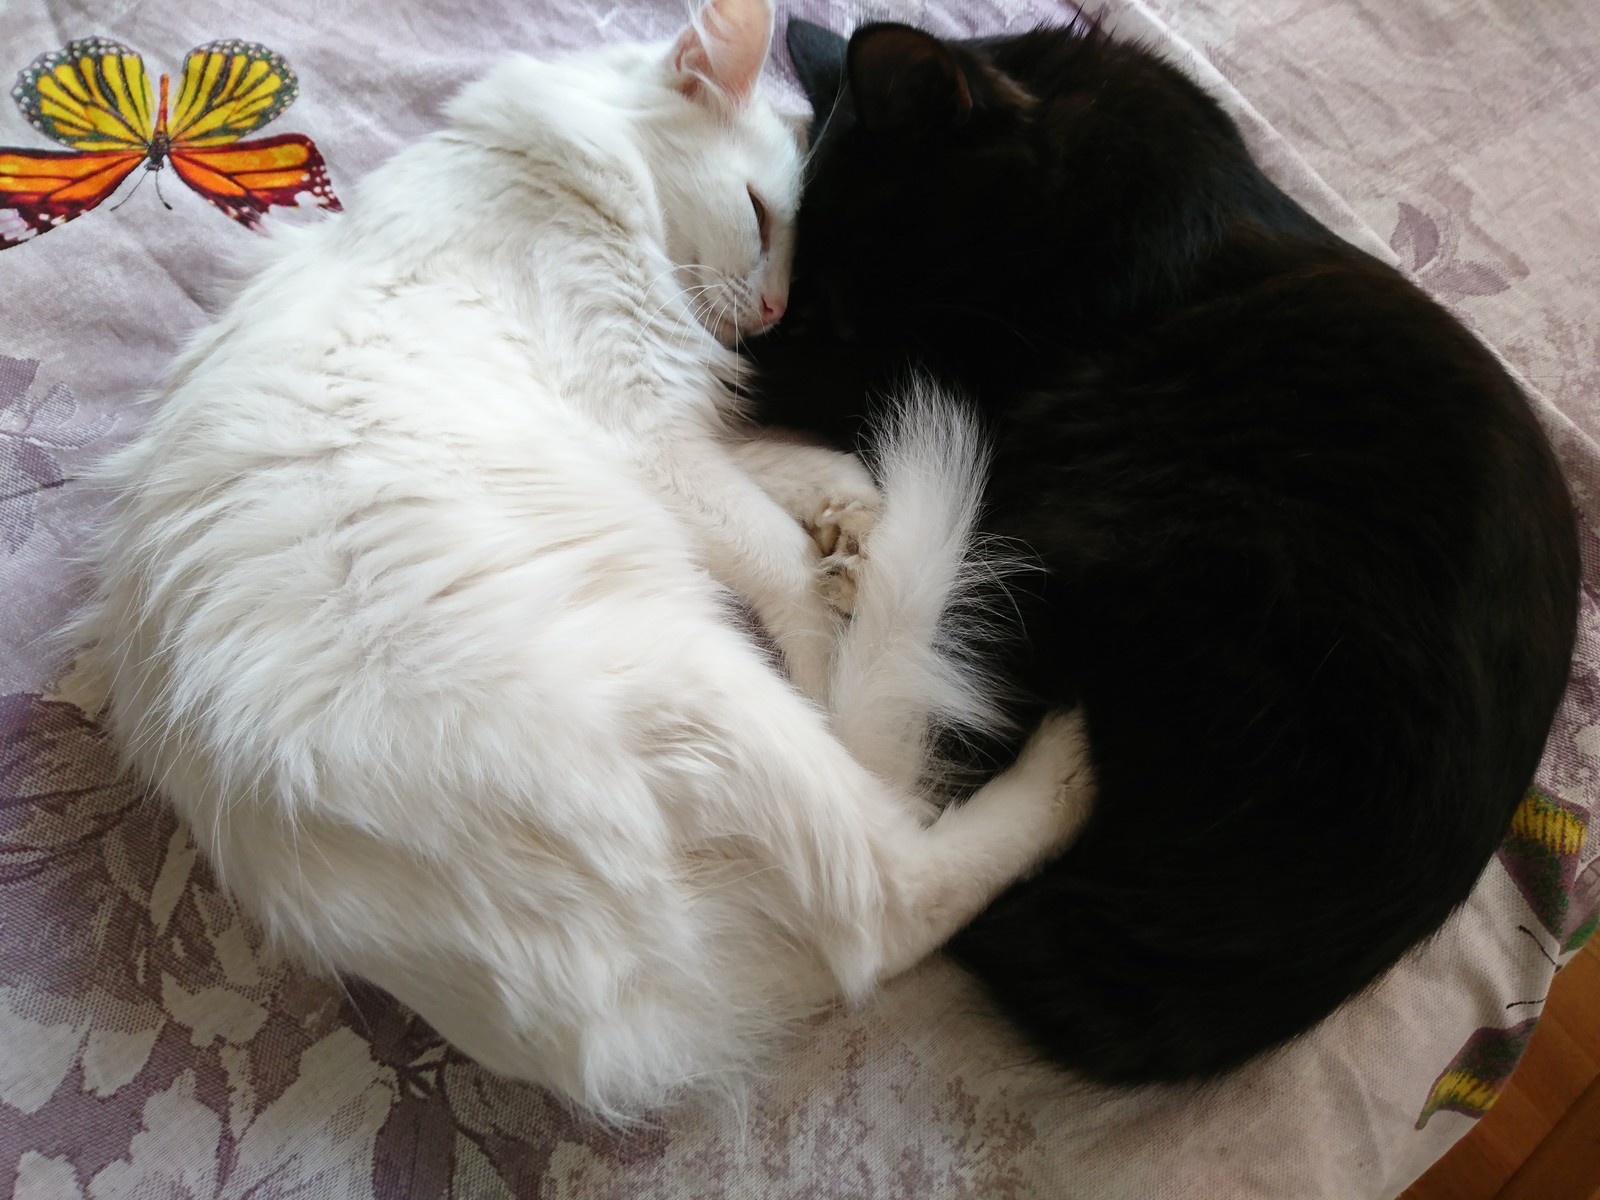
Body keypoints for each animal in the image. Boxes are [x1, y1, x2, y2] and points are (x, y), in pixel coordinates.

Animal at [68, 0, 1094, 1120]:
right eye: (762, 218)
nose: (772, 317)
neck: (565, 174)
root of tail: (607, 1038)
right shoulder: (648, 432)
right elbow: (779, 561)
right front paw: (831, 604)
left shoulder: (682, 419)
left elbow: (786, 469)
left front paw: (852, 518)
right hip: (709, 700)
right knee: (889, 889)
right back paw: (1063, 766)